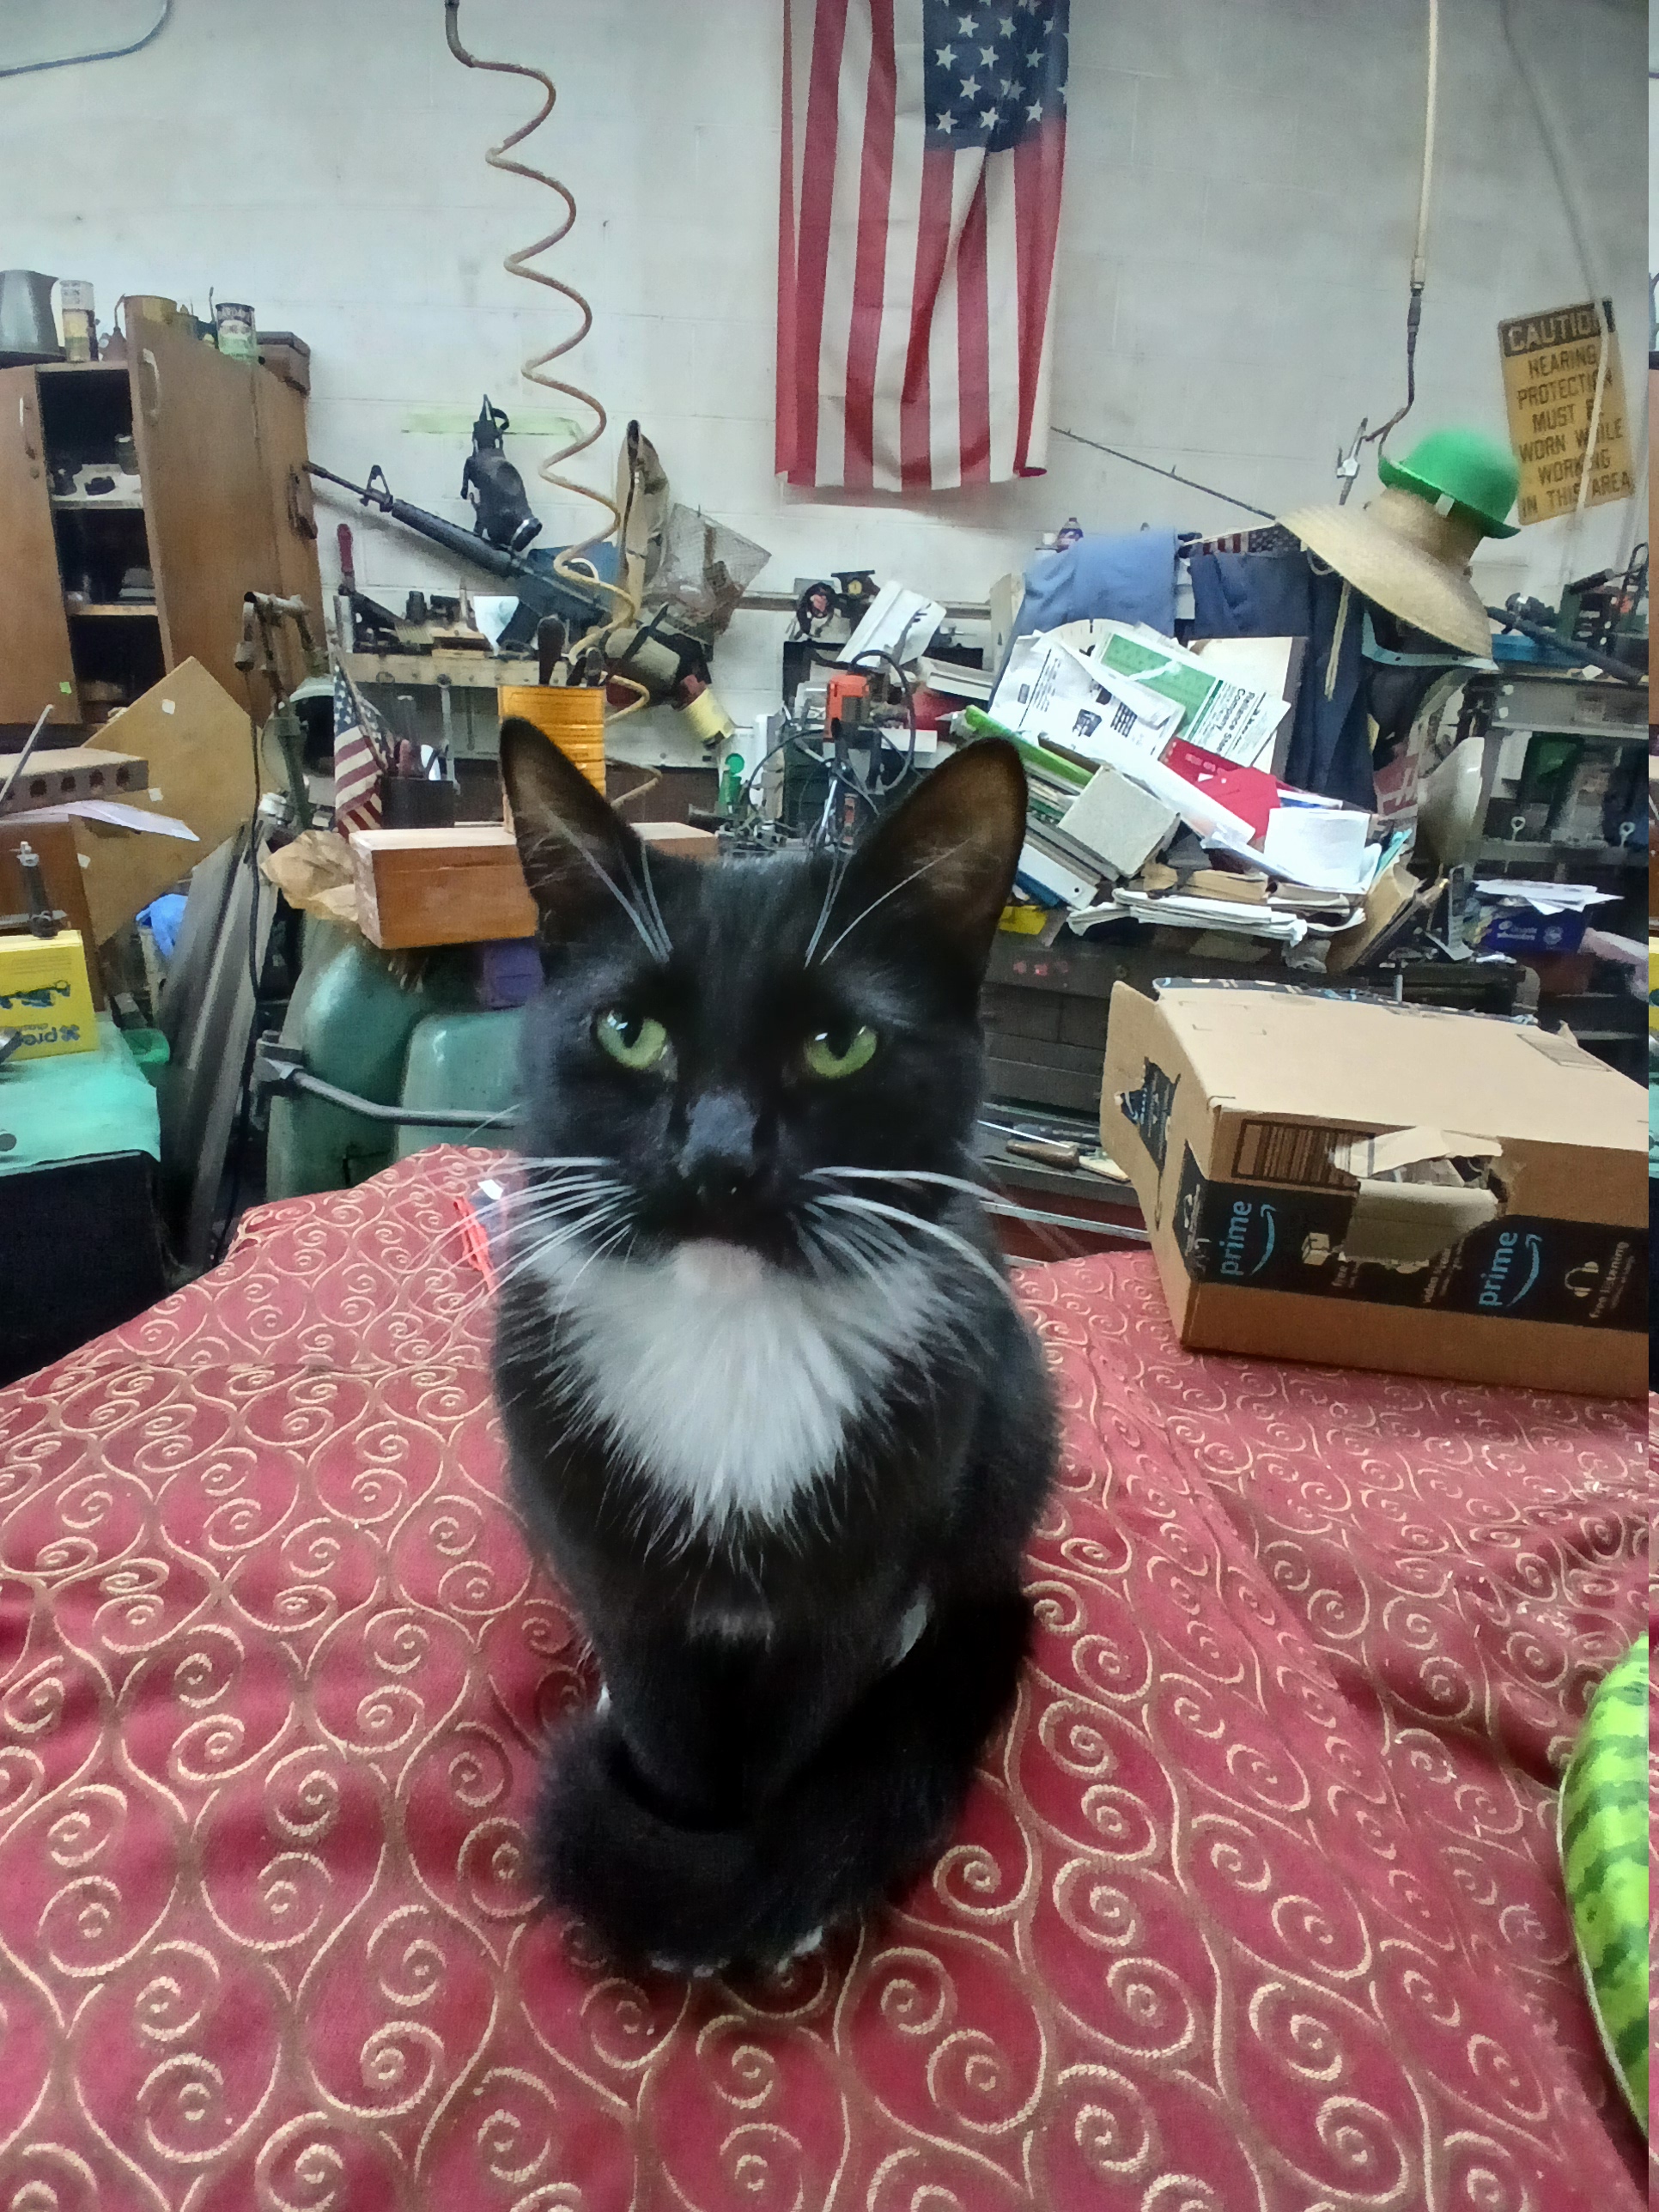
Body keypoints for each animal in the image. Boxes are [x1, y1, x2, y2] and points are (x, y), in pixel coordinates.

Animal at [493, 719, 1058, 1974]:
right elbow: (663, 1719)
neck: (734, 1336)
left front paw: (751, 1888)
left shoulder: (858, 1569)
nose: (716, 1160)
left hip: (1015, 1417)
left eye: (838, 1044)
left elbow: (799, 1731)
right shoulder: (614, 1560)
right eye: (630, 1030)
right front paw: (674, 1880)